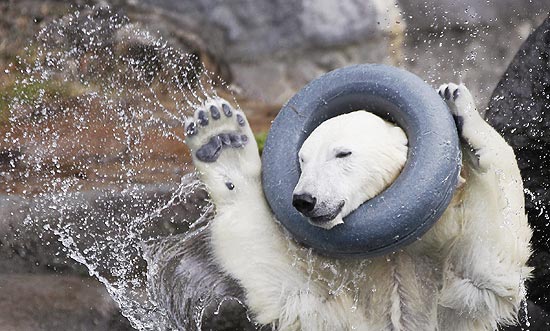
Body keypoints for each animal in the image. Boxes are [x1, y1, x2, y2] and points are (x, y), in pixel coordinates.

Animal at [182, 83, 536, 331]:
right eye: (302, 160)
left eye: (342, 153)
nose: (304, 200)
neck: (392, 253)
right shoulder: (335, 299)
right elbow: (286, 288)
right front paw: (220, 138)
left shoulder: (452, 287)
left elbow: (484, 272)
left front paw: (460, 111)